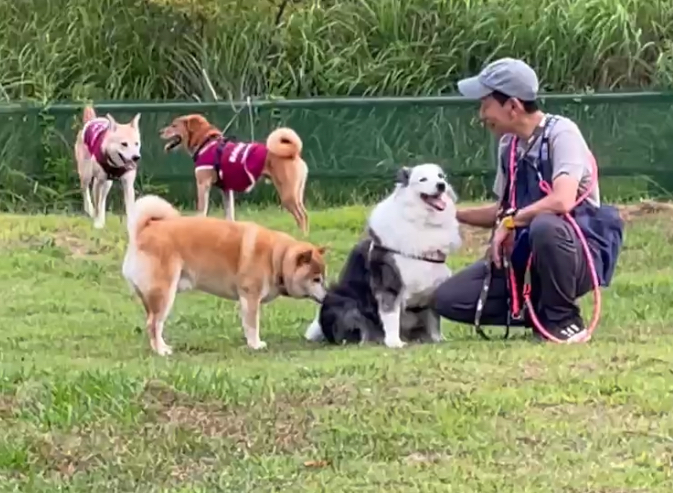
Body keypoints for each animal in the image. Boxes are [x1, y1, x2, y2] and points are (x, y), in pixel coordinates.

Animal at [121, 194, 328, 356]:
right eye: (316, 279)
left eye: (323, 278)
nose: (327, 296)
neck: (277, 257)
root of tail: (144, 229)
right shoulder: (250, 296)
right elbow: (253, 324)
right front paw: (255, 345)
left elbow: (247, 324)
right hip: (164, 294)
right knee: (153, 324)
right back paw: (161, 351)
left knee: (153, 323)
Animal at [159, 114, 309, 233]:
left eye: (174, 125)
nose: (160, 131)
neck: (206, 142)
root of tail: (293, 153)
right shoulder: (226, 190)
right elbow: (229, 216)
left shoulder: (203, 184)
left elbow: (201, 211)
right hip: (296, 193)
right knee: (305, 214)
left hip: (287, 195)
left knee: (300, 216)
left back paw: (300, 236)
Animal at [304, 163, 462, 348]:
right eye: (423, 179)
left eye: (441, 176)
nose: (441, 185)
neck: (422, 222)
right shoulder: (388, 284)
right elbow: (391, 315)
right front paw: (395, 343)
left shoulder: (432, 285)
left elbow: (434, 319)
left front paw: (438, 339)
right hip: (344, 303)